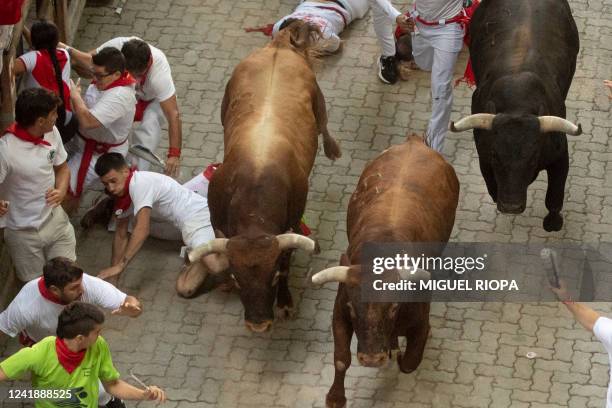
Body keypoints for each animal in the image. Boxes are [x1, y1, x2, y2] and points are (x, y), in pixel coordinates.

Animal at [176, 21, 340, 332]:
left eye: (273, 277)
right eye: (239, 280)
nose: (258, 324)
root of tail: (278, 45)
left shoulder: (290, 224)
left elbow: (287, 259)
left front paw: (285, 302)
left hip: (318, 100)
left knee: (325, 123)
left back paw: (333, 148)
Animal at [314, 135, 456, 406]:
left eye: (393, 307)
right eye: (352, 307)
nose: (371, 359)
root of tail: (414, 142)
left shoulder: (420, 323)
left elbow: (410, 363)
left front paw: (399, 354)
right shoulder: (339, 312)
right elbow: (341, 358)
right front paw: (335, 397)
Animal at [452, 0, 580, 231]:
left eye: (533, 157)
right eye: (496, 156)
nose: (511, 206)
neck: (517, 104)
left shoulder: (560, 155)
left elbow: (554, 197)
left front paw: (553, 223)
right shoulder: (484, 156)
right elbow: (491, 185)